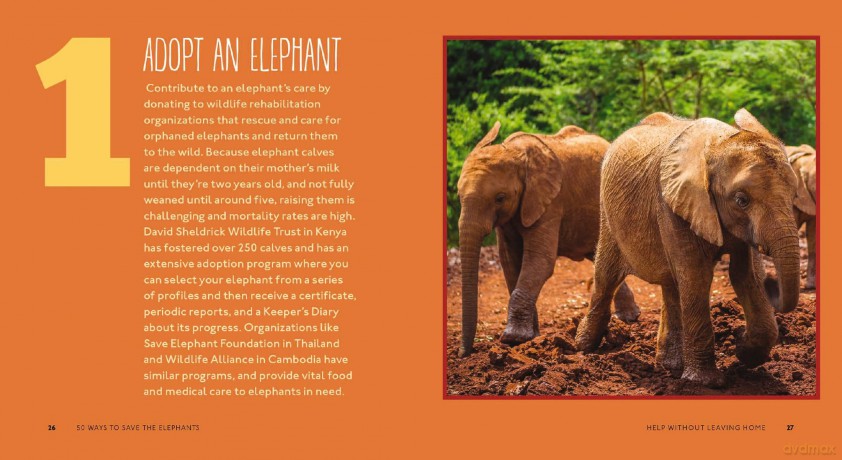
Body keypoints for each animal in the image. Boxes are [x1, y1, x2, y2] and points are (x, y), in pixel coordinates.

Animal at [456, 122, 640, 357]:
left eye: (500, 198)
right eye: (459, 196)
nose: (463, 353)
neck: (517, 154)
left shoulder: (551, 203)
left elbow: (540, 261)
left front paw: (514, 338)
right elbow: (510, 263)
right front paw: (531, 336)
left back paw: (628, 320)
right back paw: (628, 318)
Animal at [574, 109, 805, 387]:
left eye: (794, 196)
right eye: (741, 200)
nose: (773, 284)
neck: (719, 144)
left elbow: (746, 275)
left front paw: (744, 354)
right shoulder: (672, 204)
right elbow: (697, 277)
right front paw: (706, 382)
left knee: (672, 284)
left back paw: (669, 365)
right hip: (608, 215)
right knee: (607, 276)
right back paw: (583, 347)